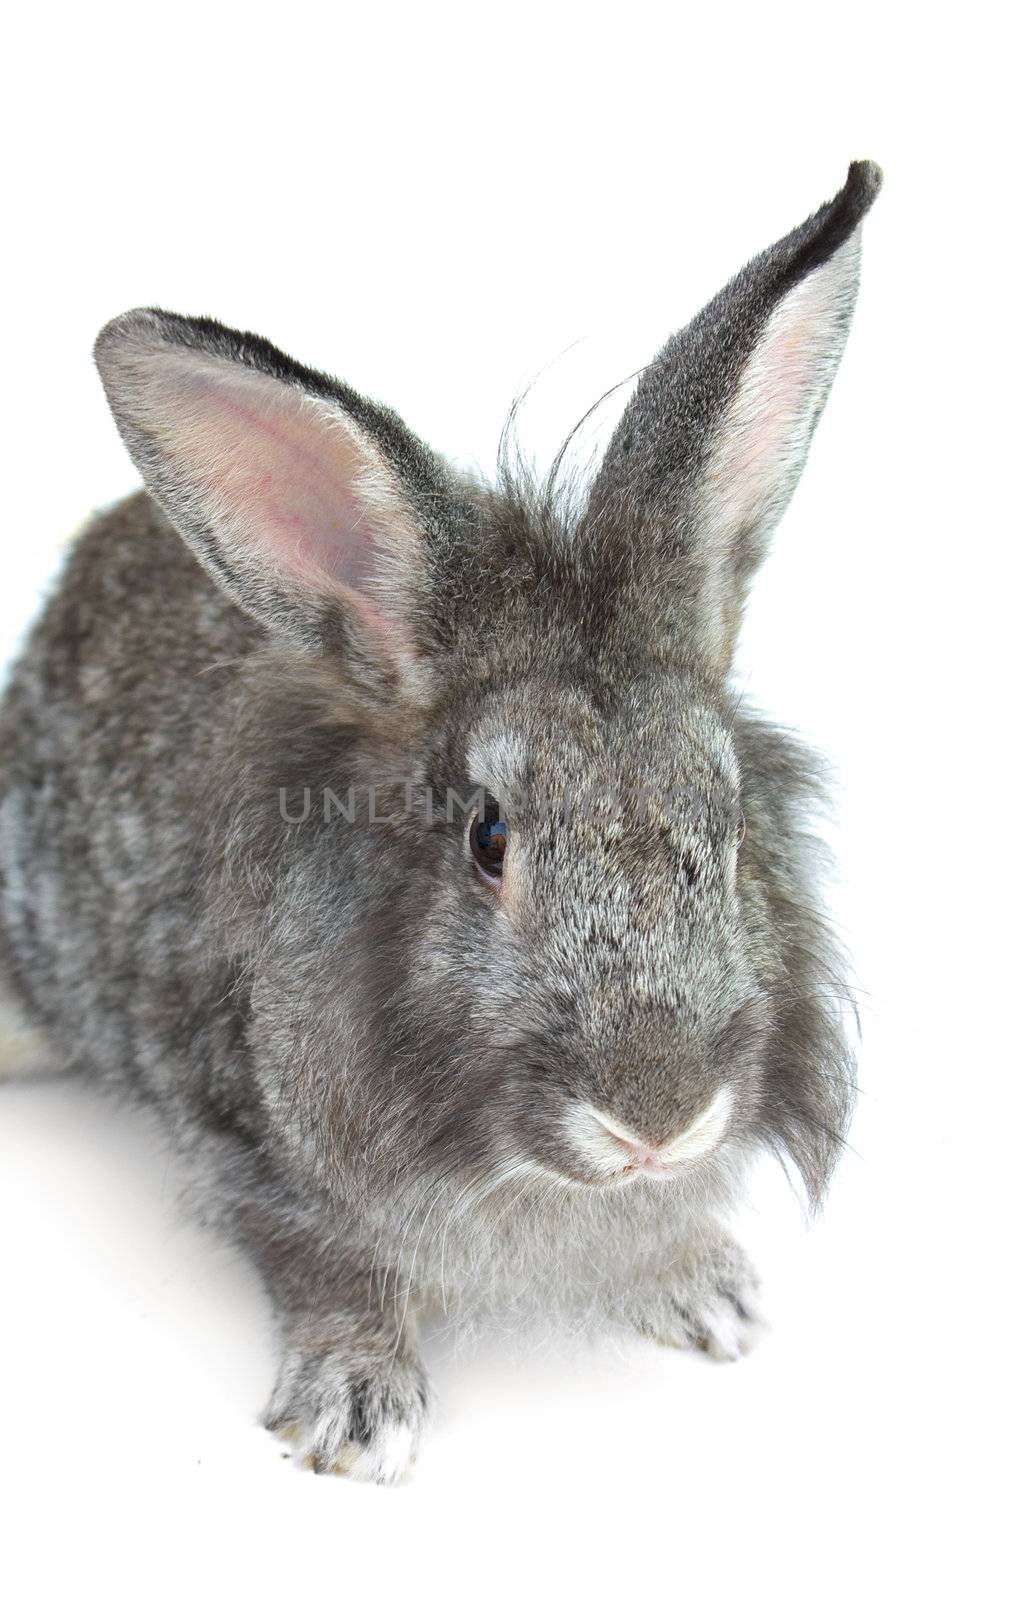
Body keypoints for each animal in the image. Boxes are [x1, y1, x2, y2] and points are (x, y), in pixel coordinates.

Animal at [0, 165, 877, 1484]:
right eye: (488, 838)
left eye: (724, 822)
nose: (658, 1116)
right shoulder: (241, 1136)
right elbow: (323, 1263)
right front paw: (355, 1413)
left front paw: (708, 1295)